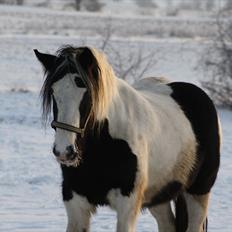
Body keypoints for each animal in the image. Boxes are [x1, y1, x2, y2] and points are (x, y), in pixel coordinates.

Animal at [34, 45, 221, 232]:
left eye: (87, 93)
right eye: (53, 92)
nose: (64, 151)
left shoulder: (128, 206)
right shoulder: (76, 204)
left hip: (199, 191)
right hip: (159, 195)